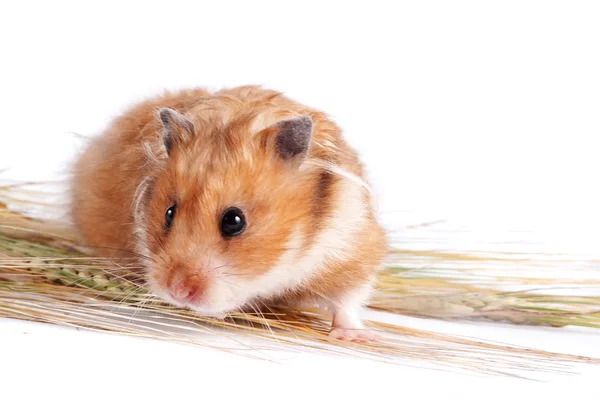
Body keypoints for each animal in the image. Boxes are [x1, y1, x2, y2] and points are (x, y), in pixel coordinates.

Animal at [69, 86, 390, 342]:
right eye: (169, 213)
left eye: (234, 221)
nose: (177, 293)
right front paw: (217, 314)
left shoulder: (352, 250)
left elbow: (347, 301)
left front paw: (355, 338)